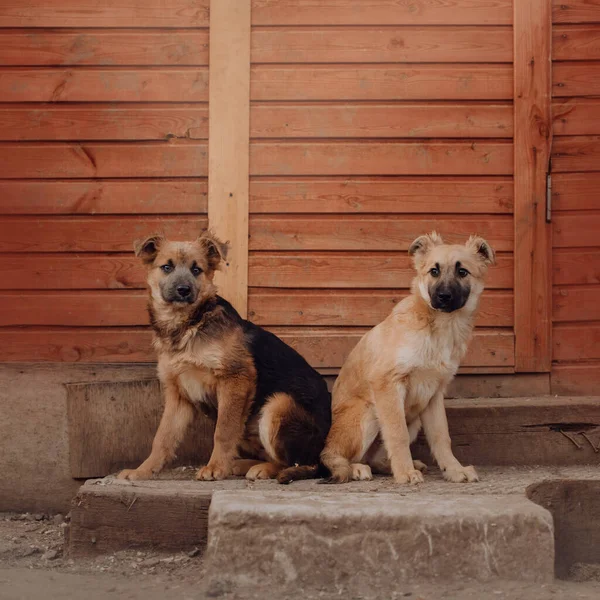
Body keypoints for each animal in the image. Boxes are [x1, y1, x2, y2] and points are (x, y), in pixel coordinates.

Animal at [322, 232, 494, 486]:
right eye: (434, 271)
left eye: (462, 272)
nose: (443, 297)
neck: (438, 327)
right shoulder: (387, 383)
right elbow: (397, 433)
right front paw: (404, 473)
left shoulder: (434, 394)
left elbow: (442, 436)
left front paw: (454, 470)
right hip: (368, 413)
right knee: (333, 455)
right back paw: (357, 468)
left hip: (414, 417)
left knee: (375, 458)